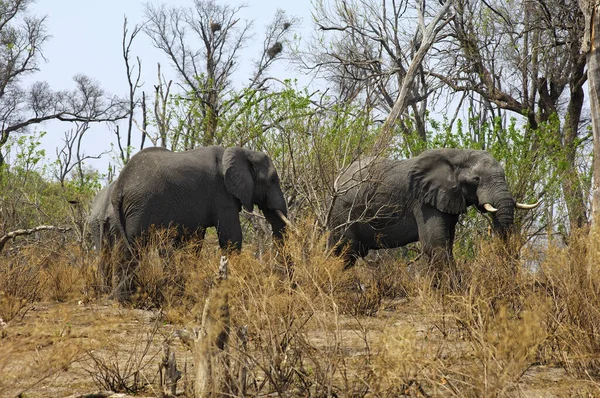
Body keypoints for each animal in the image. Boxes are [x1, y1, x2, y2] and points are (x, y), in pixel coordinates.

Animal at [328, 149, 540, 270]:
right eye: (476, 179)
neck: (457, 155)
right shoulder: (423, 203)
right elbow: (435, 245)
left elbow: (446, 244)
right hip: (344, 212)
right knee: (345, 252)